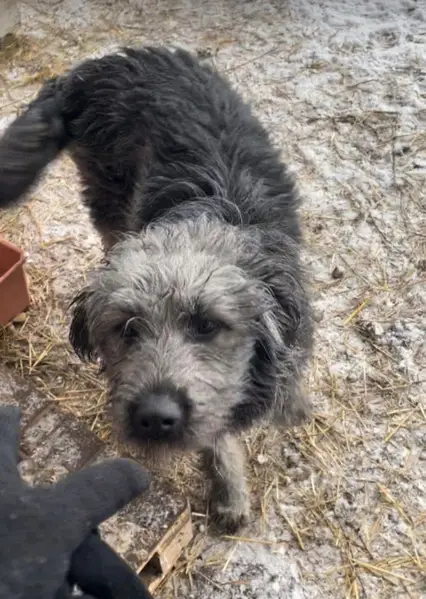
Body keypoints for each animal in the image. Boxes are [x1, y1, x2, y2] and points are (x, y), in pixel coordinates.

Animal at [0, 46, 313, 532]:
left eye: (207, 325)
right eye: (126, 329)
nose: (155, 418)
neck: (208, 216)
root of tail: (89, 71)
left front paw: (292, 402)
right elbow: (217, 434)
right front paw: (229, 490)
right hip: (107, 196)